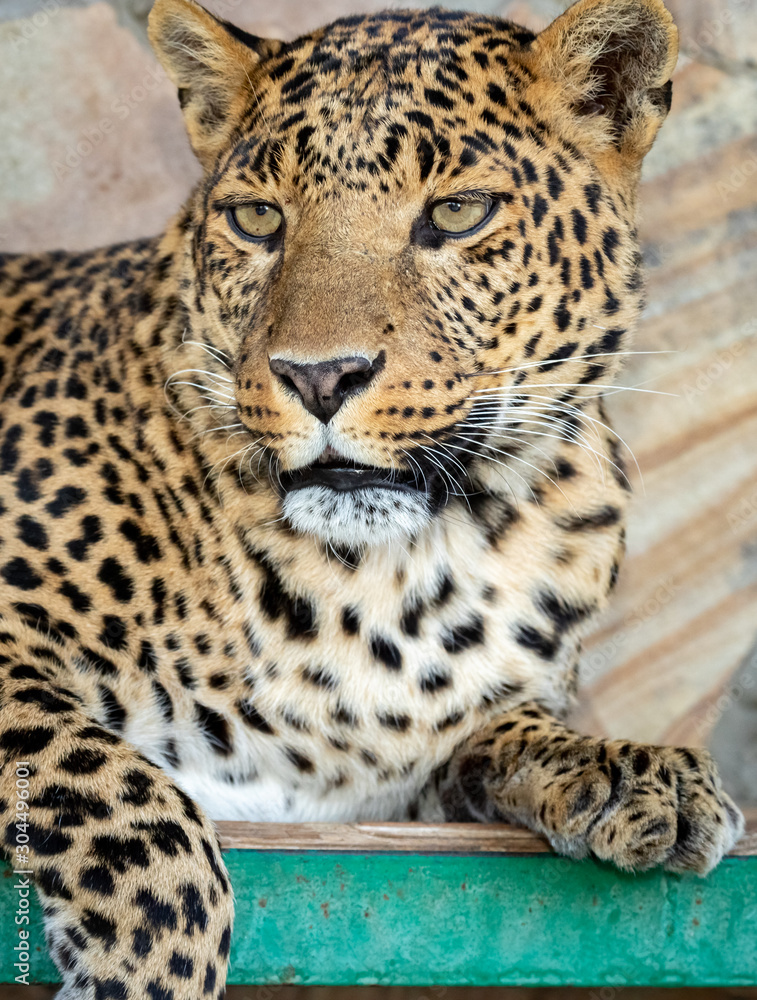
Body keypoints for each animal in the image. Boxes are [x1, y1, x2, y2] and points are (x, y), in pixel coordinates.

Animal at [0, 0, 745, 995]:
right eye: (257, 218)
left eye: (457, 213)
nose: (319, 377)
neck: (387, 579)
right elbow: (114, 785)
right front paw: (150, 959)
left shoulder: (415, 769)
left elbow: (507, 728)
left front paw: (637, 774)